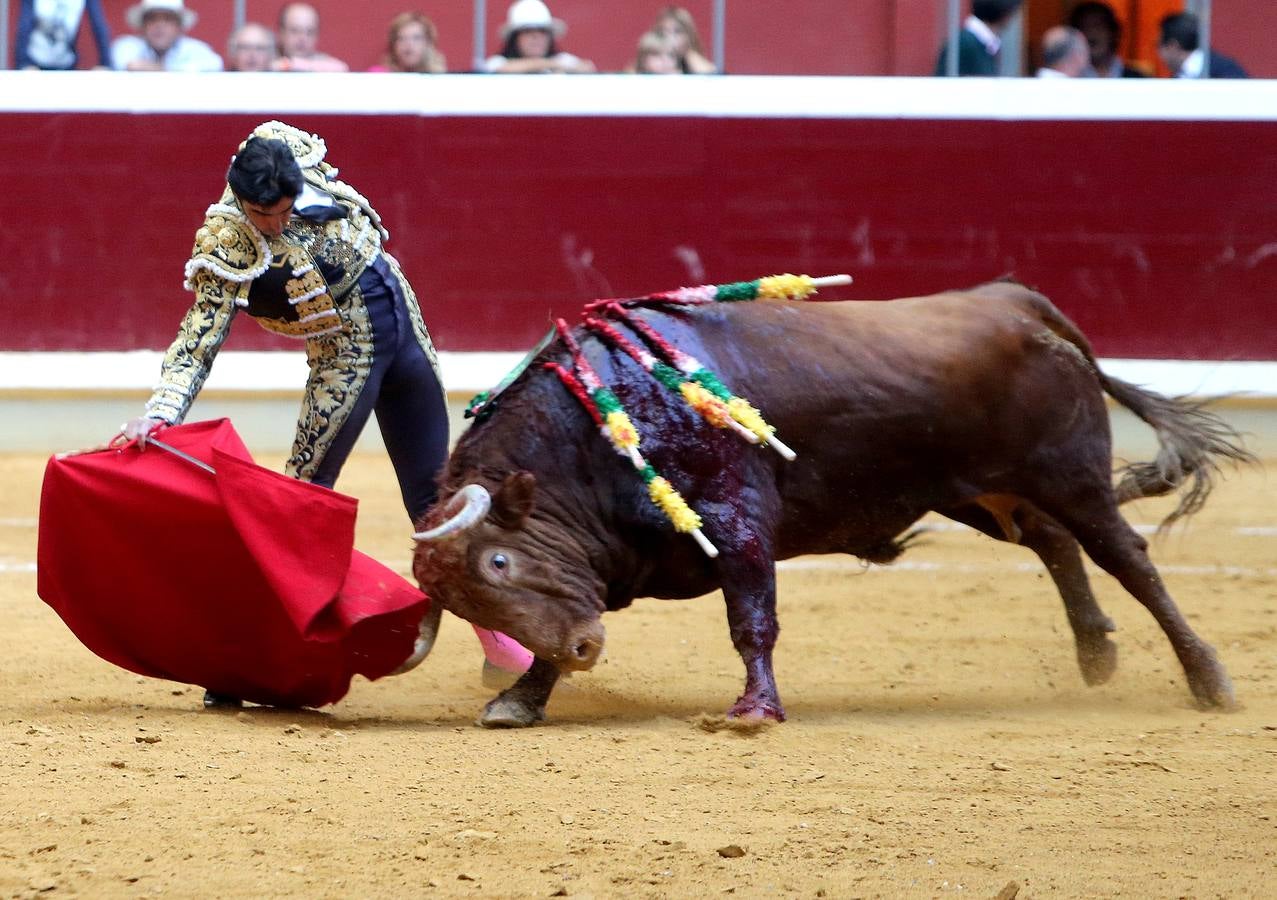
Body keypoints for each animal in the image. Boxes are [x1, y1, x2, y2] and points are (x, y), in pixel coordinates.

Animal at [413, 284, 1251, 725]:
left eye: (497, 560)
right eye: (462, 599)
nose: (589, 655)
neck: (596, 427)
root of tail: (1013, 303)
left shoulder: (739, 524)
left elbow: (750, 620)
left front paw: (755, 709)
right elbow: (554, 627)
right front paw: (520, 699)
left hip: (1070, 474)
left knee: (1126, 558)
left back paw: (1208, 681)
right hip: (982, 491)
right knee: (1052, 541)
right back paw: (1095, 652)